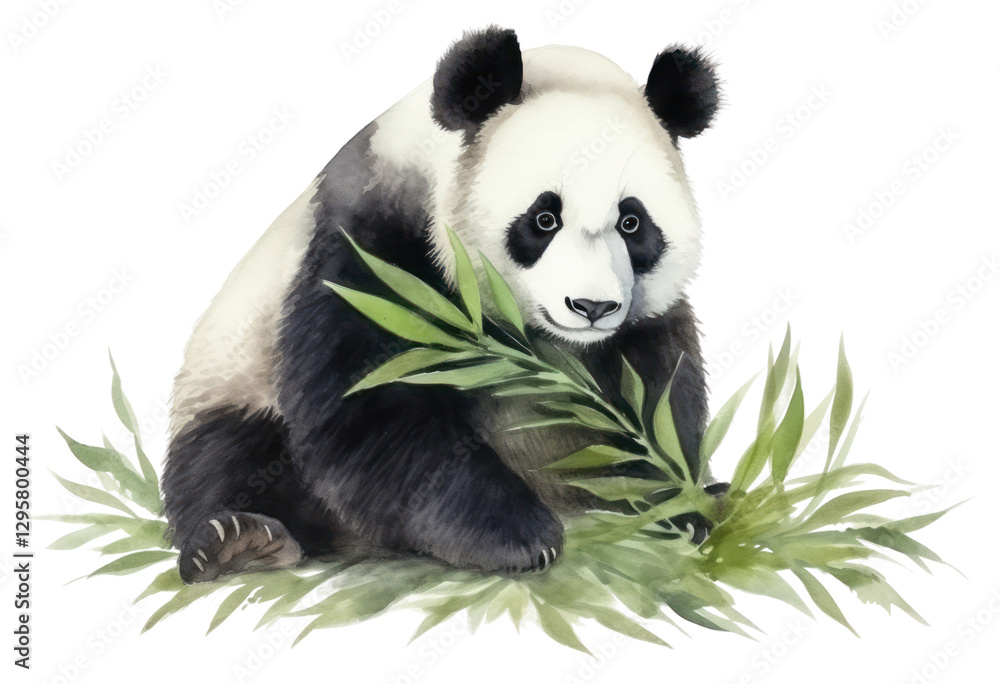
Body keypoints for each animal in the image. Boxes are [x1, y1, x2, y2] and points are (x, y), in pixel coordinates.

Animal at [163, 26, 722, 584]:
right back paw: (239, 542)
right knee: (222, 457)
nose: (592, 306)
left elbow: (658, 399)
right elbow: (373, 404)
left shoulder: (641, 325)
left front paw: (675, 504)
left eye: (632, 223)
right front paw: (514, 535)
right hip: (233, 373)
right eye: (544, 219)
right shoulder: (371, 243)